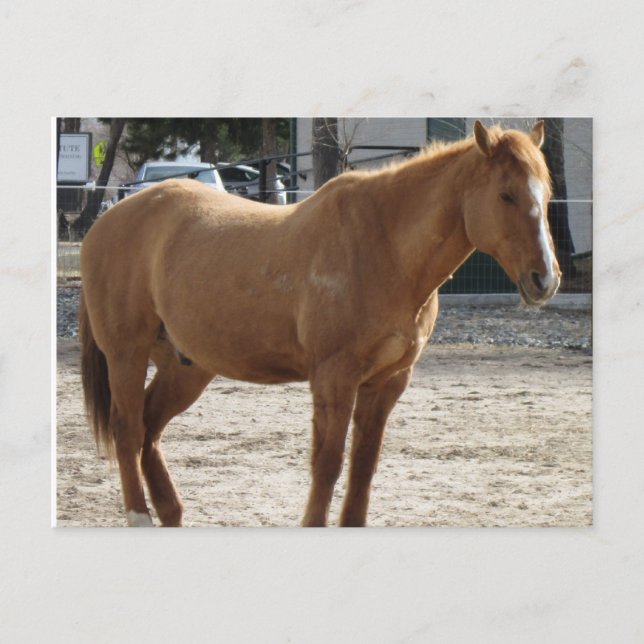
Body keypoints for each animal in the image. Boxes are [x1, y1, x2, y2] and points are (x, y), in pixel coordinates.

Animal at [79, 120, 560, 527]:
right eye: (506, 195)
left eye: (547, 195)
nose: (546, 279)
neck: (384, 246)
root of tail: (106, 222)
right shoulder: (334, 377)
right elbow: (327, 464)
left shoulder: (387, 383)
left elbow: (364, 466)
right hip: (126, 354)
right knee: (128, 429)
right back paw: (139, 516)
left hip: (187, 367)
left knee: (150, 430)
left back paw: (171, 513)